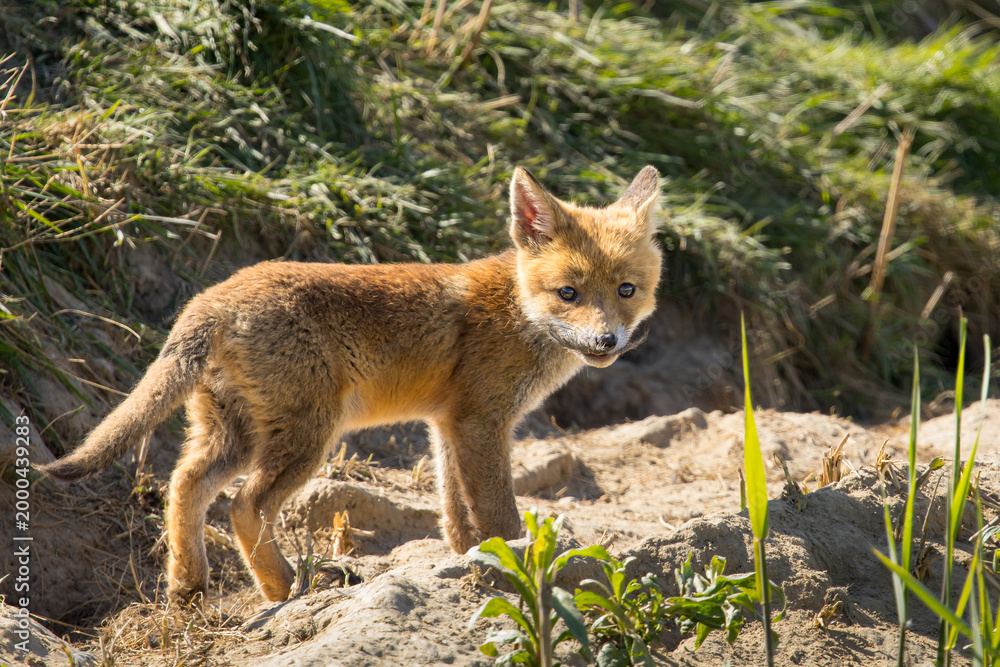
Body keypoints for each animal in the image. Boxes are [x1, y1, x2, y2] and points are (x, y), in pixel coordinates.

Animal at [38, 166, 663, 603]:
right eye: (568, 294)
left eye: (626, 290)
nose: (607, 340)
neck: (519, 312)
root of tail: (211, 297)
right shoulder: (481, 422)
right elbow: (498, 511)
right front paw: (518, 563)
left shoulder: (448, 422)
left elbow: (454, 512)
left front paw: (468, 559)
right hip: (310, 436)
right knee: (244, 504)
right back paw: (285, 587)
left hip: (234, 435)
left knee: (185, 484)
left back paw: (189, 586)